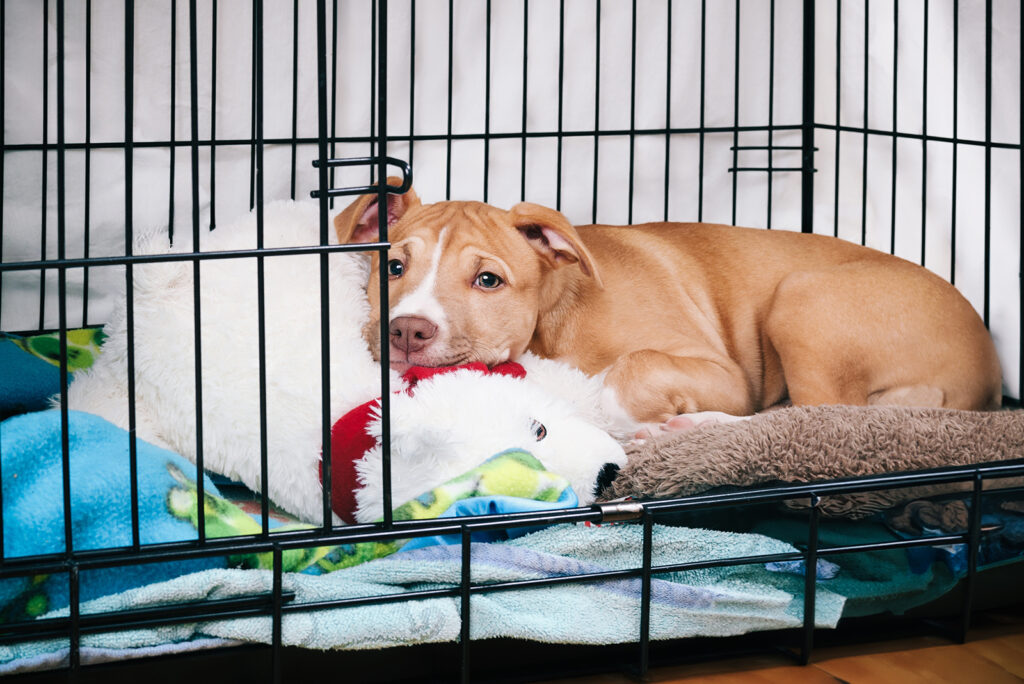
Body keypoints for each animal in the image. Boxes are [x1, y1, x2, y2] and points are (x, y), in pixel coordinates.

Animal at [333, 179, 999, 430]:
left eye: (488, 280)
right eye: (394, 267)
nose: (407, 332)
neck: (552, 322)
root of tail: (987, 369)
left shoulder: (725, 373)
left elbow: (631, 368)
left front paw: (631, 421)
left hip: (802, 300)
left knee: (816, 415)